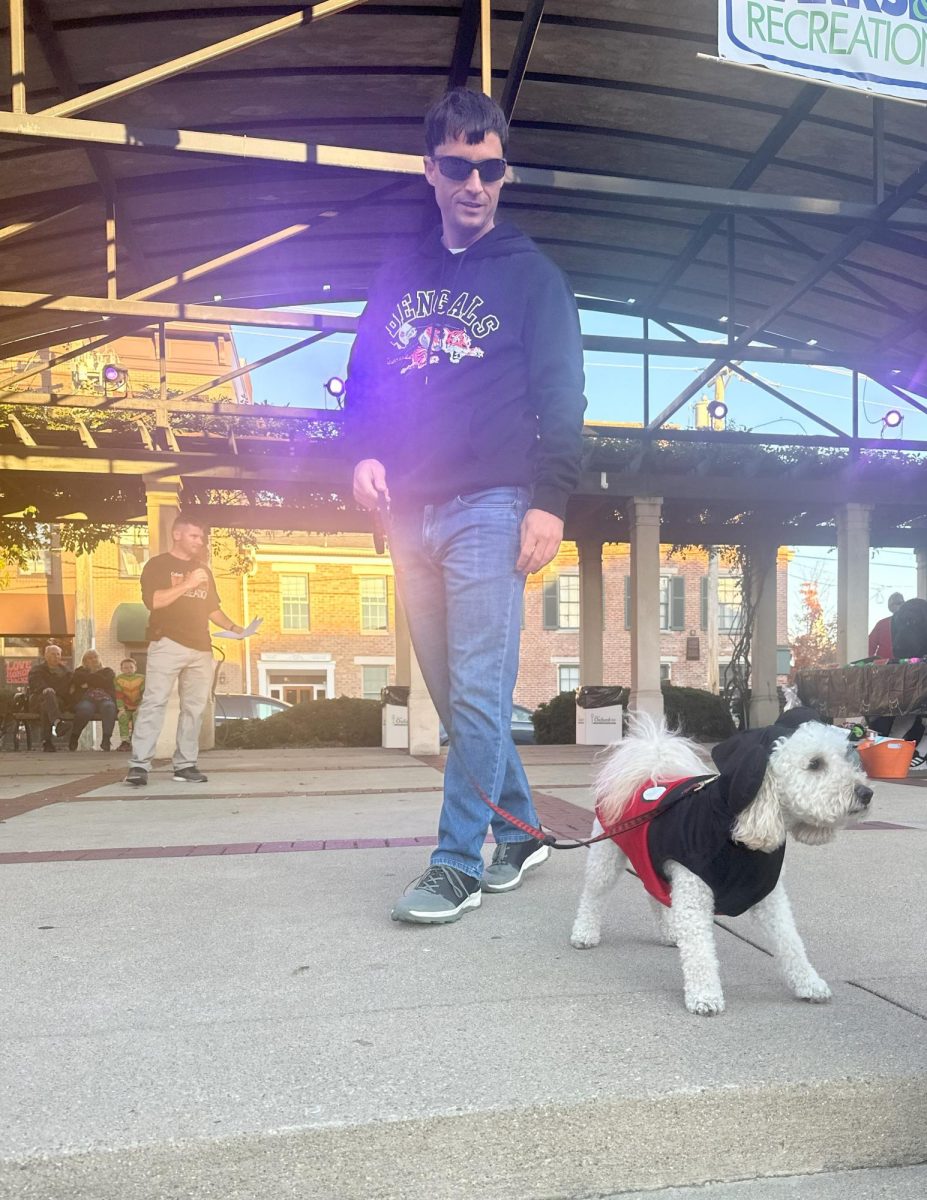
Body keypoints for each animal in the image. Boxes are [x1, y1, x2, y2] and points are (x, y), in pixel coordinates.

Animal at [569, 705, 874, 1017]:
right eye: (815, 764)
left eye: (847, 756)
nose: (866, 793)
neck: (735, 825)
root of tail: (649, 772)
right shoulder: (694, 890)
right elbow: (700, 951)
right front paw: (705, 996)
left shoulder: (770, 898)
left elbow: (790, 942)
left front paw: (809, 983)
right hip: (606, 857)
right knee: (593, 896)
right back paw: (584, 932)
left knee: (654, 893)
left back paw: (669, 932)